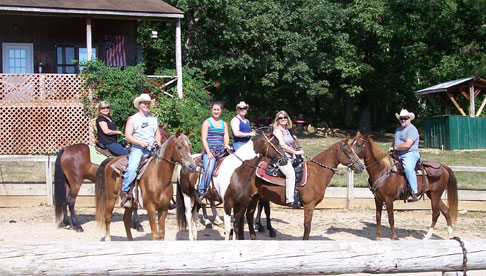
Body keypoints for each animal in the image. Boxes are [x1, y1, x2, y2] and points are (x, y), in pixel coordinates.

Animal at [224, 137, 364, 240]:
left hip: (255, 197)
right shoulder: (309, 205)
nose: (361, 167)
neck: (316, 173)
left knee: (248, 216)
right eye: (349, 151)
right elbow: (307, 227)